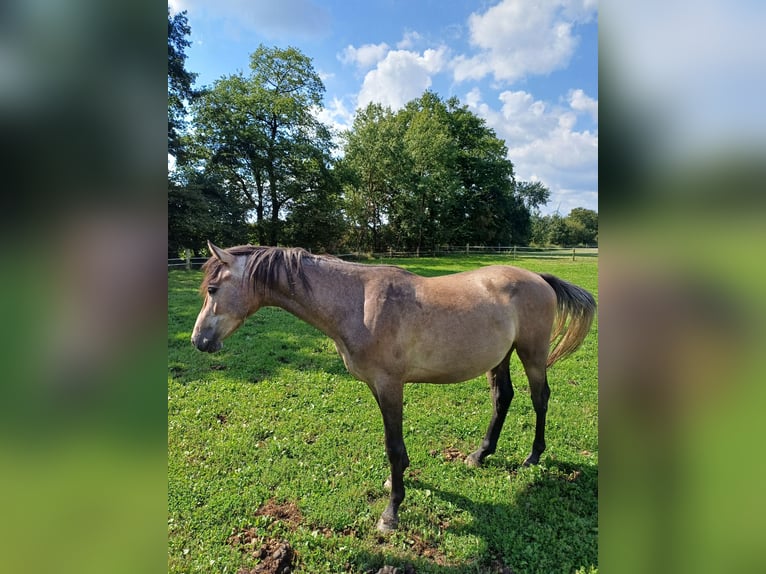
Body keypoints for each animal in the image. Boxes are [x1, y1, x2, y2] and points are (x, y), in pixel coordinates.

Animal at [192, 241, 600, 532]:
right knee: (503, 398)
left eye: (212, 288)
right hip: (499, 357)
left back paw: (533, 456)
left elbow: (393, 446)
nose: (199, 340)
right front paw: (395, 483)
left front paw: (391, 513)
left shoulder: (390, 385)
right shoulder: (379, 387)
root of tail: (540, 278)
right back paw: (480, 454)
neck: (357, 303)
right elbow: (394, 446)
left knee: (540, 398)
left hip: (532, 353)